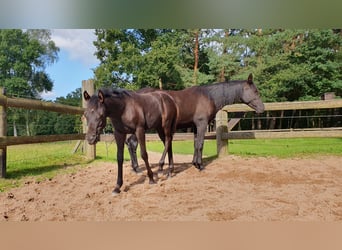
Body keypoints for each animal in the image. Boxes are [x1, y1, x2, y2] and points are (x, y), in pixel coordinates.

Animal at [125, 73, 264, 171]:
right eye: (255, 91)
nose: (262, 108)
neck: (209, 96)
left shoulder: (195, 126)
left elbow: (195, 144)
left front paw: (194, 163)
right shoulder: (202, 124)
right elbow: (200, 144)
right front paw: (200, 165)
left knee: (130, 143)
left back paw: (136, 168)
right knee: (132, 143)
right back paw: (138, 168)